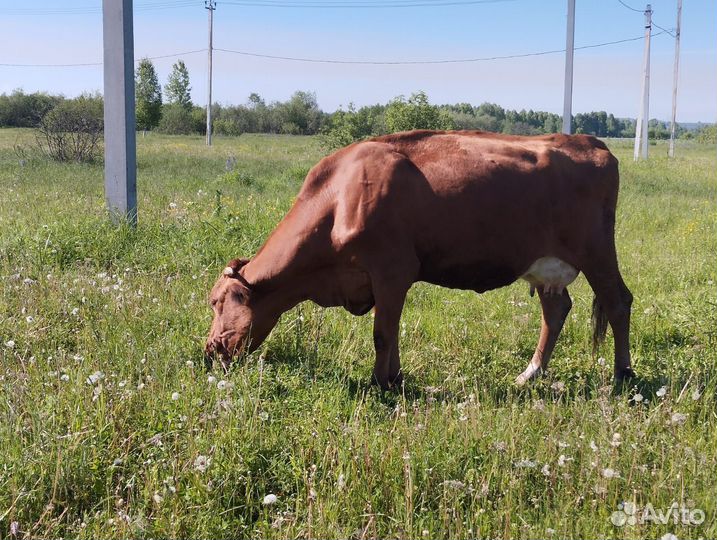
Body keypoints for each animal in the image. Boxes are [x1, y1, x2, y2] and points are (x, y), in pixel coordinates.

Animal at [205, 130, 634, 390]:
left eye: (217, 303)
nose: (210, 351)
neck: (339, 199)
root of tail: (589, 141)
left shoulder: (392, 271)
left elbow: (382, 333)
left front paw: (380, 383)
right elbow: (391, 331)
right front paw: (394, 378)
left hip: (597, 251)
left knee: (618, 301)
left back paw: (622, 375)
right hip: (546, 264)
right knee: (555, 309)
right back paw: (529, 373)